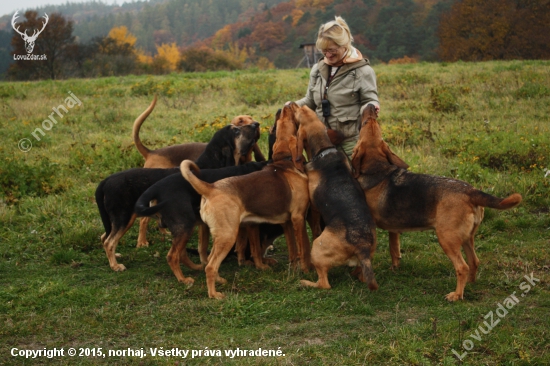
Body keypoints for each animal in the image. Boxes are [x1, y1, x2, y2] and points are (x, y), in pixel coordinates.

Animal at [96, 123, 260, 272]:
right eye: (236, 130)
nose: (256, 124)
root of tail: (106, 181)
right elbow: (203, 246)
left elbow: (202, 246)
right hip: (124, 218)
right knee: (109, 242)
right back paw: (115, 266)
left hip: (117, 220)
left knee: (104, 237)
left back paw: (116, 256)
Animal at [180, 105, 312, 298]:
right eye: (285, 121)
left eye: (280, 123)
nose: (286, 106)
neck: (285, 162)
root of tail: (210, 188)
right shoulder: (298, 218)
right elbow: (304, 248)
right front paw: (306, 270)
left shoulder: (287, 222)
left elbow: (293, 250)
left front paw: (295, 268)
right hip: (228, 235)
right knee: (210, 266)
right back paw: (214, 294)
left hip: (221, 236)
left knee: (210, 261)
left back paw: (220, 281)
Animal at [294, 103, 380, 292]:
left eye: (301, 113)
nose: (300, 105)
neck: (324, 150)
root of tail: (361, 246)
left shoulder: (315, 207)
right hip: (369, 254)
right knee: (361, 275)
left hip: (317, 249)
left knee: (324, 284)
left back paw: (305, 282)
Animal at [352, 104, 524, 302]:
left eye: (366, 122)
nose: (372, 106)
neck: (377, 169)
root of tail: (471, 191)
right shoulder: (393, 229)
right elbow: (394, 249)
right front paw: (394, 267)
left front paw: (360, 275)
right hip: (467, 238)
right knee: (474, 262)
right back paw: (470, 285)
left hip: (446, 238)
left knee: (462, 267)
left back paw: (456, 295)